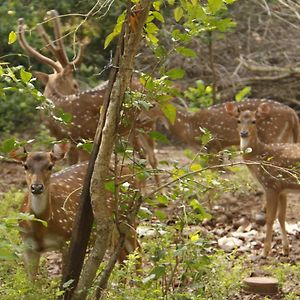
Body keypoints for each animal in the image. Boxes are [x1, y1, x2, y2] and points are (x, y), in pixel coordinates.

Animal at [11, 144, 142, 280]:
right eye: (25, 165)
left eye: (50, 166)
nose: (36, 187)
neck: (41, 228)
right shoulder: (27, 246)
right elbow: (31, 283)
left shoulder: (68, 239)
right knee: (122, 256)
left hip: (129, 213)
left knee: (138, 251)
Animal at [17, 9, 162, 185]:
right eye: (75, 85)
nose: (77, 88)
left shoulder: (80, 137)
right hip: (132, 130)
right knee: (142, 156)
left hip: (148, 123)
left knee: (152, 157)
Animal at [224, 102, 300, 256]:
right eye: (238, 121)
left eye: (254, 121)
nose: (244, 133)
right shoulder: (282, 189)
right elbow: (281, 217)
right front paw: (285, 249)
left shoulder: (271, 185)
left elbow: (270, 218)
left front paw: (265, 251)